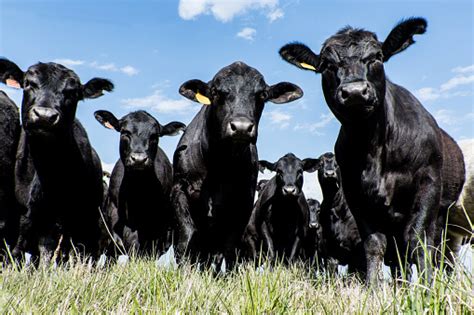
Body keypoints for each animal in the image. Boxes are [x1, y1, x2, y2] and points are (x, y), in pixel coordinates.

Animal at [172, 61, 302, 266]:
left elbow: (227, 248)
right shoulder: (180, 190)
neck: (220, 165)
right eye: (216, 92)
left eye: (262, 94)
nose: (241, 127)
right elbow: (186, 238)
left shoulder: (242, 202)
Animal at [280, 17, 464, 284]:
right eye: (327, 64)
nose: (355, 92)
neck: (374, 144)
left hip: (445, 217)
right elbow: (374, 245)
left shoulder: (428, 183)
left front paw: (428, 289)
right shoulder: (357, 196)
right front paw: (374, 288)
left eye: (377, 56)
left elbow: (419, 241)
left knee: (438, 252)